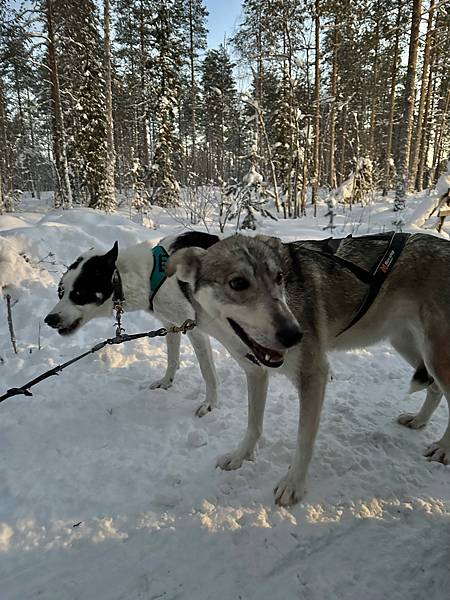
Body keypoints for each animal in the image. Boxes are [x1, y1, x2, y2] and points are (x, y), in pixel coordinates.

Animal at [45, 231, 220, 418]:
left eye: (79, 293)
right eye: (60, 292)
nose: (49, 319)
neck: (148, 275)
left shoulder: (194, 329)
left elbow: (207, 371)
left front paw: (210, 403)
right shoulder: (171, 325)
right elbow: (172, 359)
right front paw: (166, 382)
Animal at [168, 232, 450, 504]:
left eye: (279, 277)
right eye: (238, 283)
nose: (295, 335)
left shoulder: (314, 375)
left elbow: (304, 440)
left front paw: (293, 485)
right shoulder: (256, 373)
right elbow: (253, 425)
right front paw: (240, 456)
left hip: (435, 356)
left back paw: (443, 449)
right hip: (409, 347)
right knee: (434, 389)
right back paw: (418, 420)